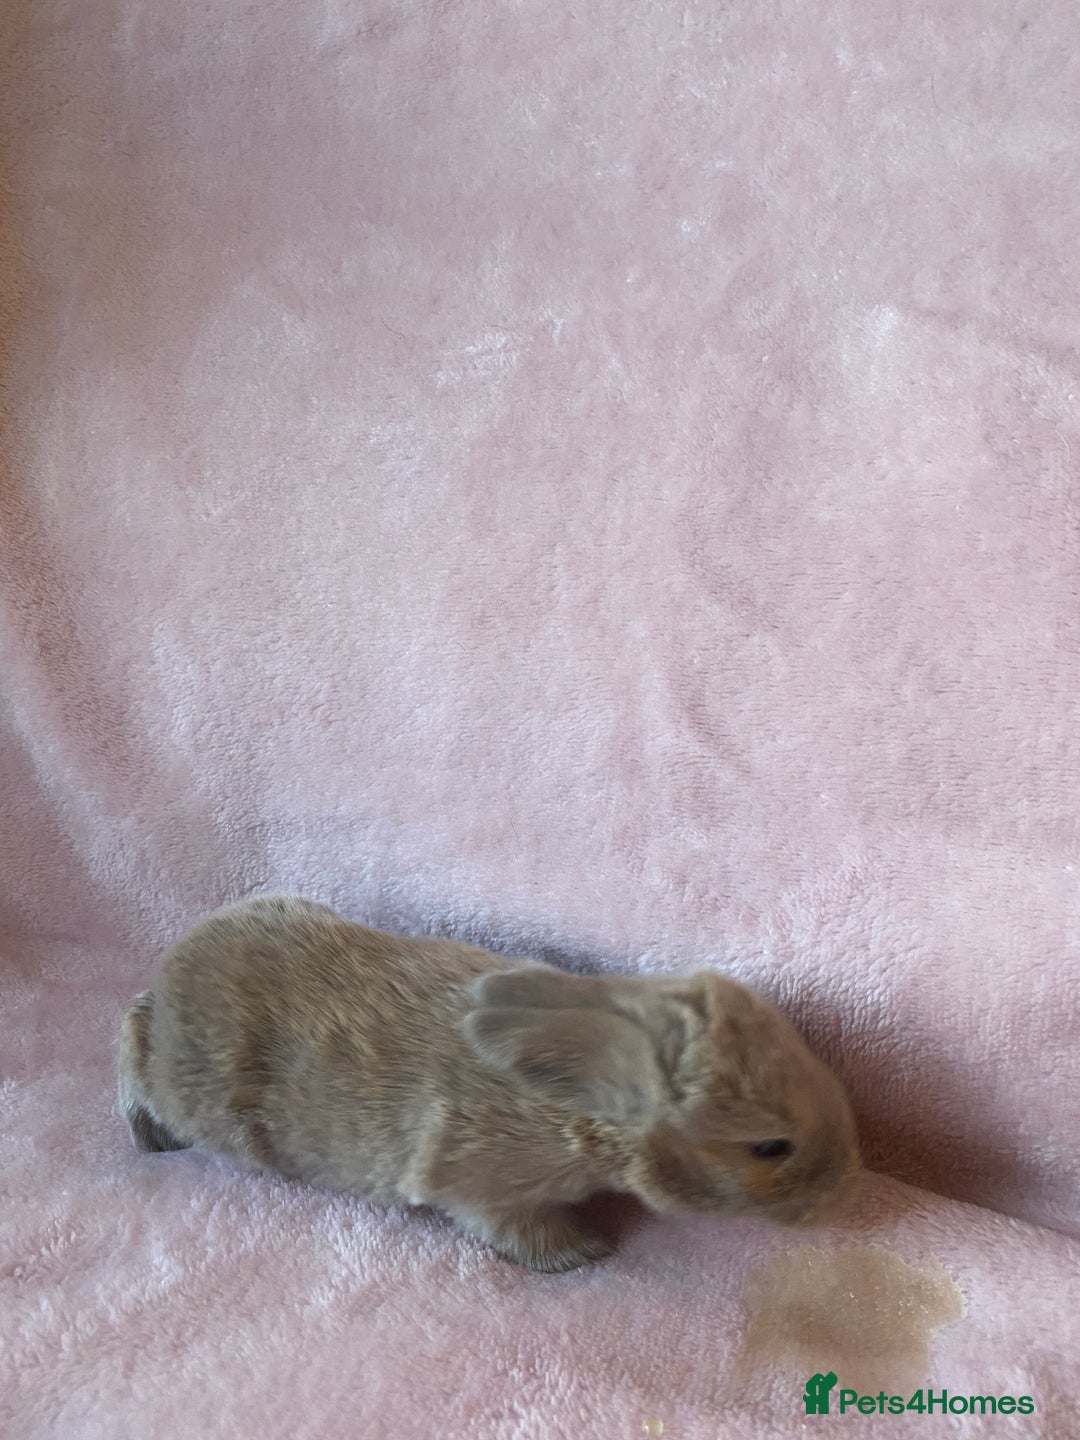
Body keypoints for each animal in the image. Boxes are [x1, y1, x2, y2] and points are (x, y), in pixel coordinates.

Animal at [116, 894, 861, 1272]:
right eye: (770, 1147)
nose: (841, 1191)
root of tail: (177, 959)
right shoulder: (480, 1181)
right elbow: (509, 1223)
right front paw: (584, 1252)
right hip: (192, 1088)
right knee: (133, 1047)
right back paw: (146, 1133)